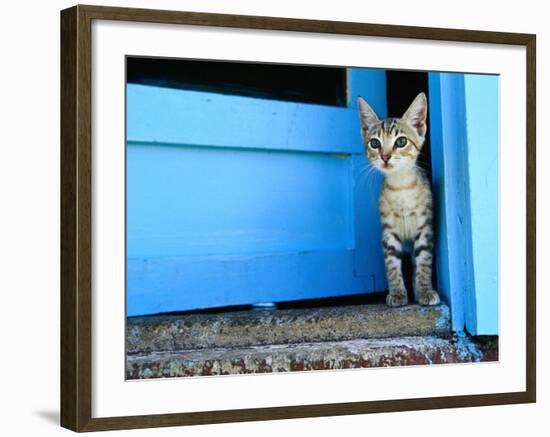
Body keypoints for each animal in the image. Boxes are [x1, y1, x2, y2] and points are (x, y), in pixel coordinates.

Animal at [358, 93, 444, 306]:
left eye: (401, 141)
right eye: (375, 143)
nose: (385, 156)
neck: (401, 187)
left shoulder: (425, 228)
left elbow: (424, 262)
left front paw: (424, 290)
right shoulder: (388, 232)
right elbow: (391, 264)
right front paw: (397, 292)